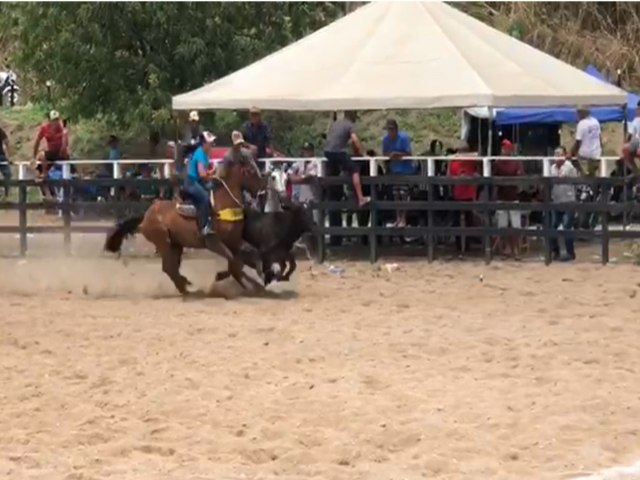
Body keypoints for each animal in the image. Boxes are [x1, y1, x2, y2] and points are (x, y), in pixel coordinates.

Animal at [105, 156, 264, 294]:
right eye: (250, 170)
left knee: (170, 268)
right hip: (164, 242)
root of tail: (145, 216)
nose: (263, 190)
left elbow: (248, 257)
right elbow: (235, 263)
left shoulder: (234, 241)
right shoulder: (214, 243)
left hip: (176, 245)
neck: (223, 203)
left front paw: (259, 281)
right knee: (169, 267)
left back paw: (185, 286)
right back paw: (187, 287)